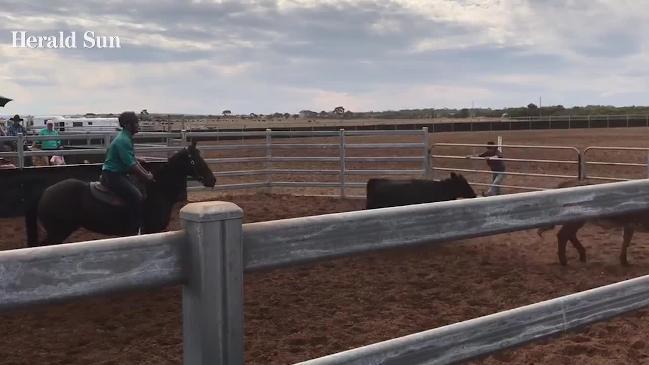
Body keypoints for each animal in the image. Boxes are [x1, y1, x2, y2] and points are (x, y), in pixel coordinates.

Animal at [25, 141, 215, 246]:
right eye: (195, 160)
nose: (212, 179)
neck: (158, 190)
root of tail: (45, 191)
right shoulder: (149, 230)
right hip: (57, 232)